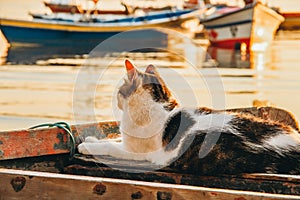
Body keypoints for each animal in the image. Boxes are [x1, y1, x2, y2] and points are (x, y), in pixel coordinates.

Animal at [78, 59, 300, 175]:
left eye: (119, 91)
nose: (116, 100)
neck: (158, 109)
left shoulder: (136, 152)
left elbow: (110, 146)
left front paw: (86, 145)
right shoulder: (126, 140)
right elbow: (112, 138)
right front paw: (91, 139)